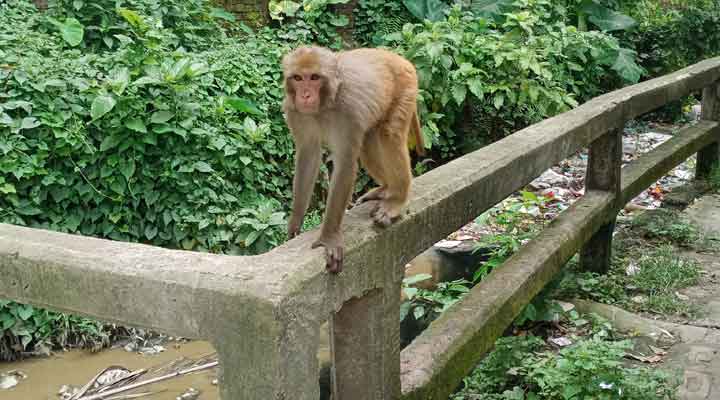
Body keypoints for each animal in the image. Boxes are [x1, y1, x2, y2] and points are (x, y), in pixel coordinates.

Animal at [282, 45, 424, 274]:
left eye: (314, 77)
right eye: (297, 78)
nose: (305, 95)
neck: (324, 104)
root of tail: (398, 58)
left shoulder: (347, 110)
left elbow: (346, 163)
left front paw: (329, 238)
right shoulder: (295, 111)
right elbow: (308, 155)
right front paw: (295, 224)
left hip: (405, 88)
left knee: (389, 135)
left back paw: (396, 200)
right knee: (368, 142)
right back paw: (385, 189)